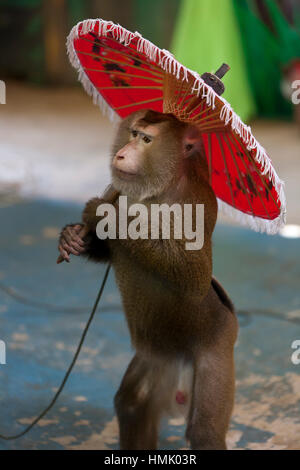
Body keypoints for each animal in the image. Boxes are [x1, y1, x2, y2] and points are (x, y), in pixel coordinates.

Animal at [57, 108, 238, 450]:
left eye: (146, 140)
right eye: (133, 133)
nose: (122, 153)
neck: (160, 189)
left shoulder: (194, 202)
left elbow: (194, 278)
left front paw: (105, 215)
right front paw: (73, 237)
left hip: (217, 347)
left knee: (205, 431)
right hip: (159, 356)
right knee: (133, 403)